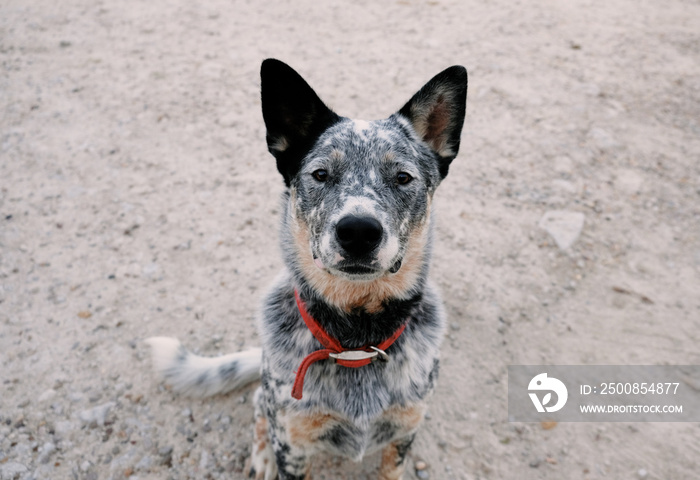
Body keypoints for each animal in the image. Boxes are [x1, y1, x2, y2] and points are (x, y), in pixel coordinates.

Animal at [146, 60, 464, 480]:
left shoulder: (405, 432)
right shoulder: (294, 443)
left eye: (402, 178)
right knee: (258, 408)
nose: (358, 231)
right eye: (321, 174)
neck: (355, 343)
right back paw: (261, 457)